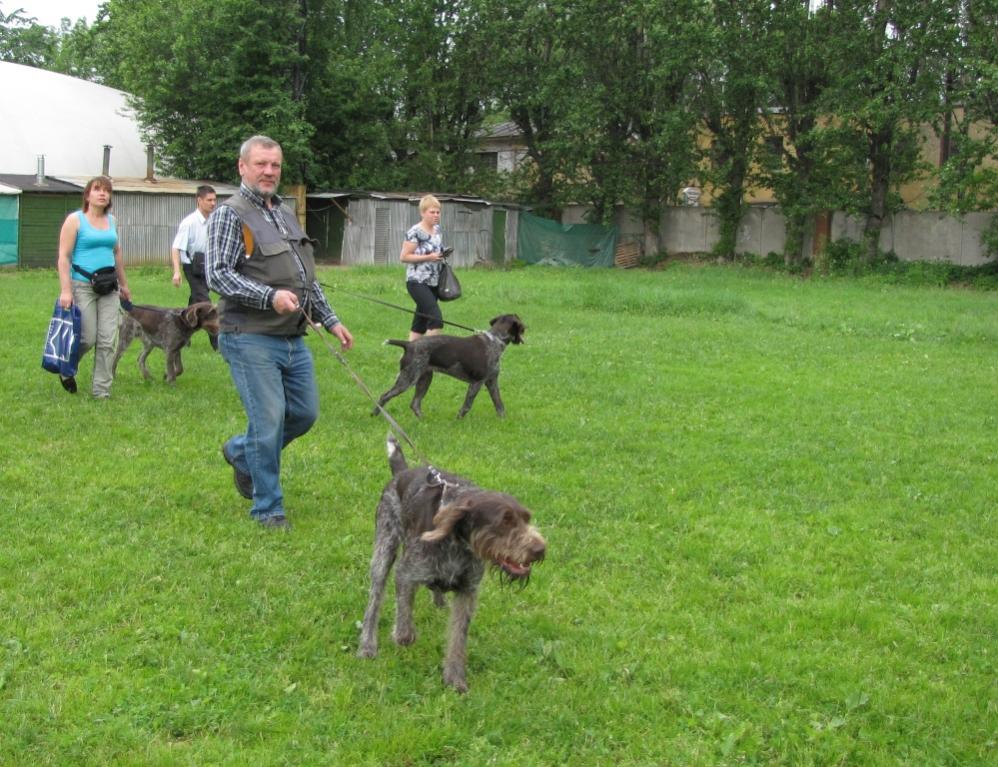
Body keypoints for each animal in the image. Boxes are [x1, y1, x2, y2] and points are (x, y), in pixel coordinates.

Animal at [358, 434, 547, 693]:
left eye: (526, 518)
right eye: (504, 521)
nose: (540, 549)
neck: (457, 544)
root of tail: (402, 473)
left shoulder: (467, 591)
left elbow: (458, 637)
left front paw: (455, 677)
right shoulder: (406, 572)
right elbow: (405, 616)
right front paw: (402, 635)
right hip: (384, 548)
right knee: (375, 600)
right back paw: (367, 645)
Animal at [373, 314, 526, 418]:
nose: (527, 328)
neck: (495, 340)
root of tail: (408, 345)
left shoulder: (491, 382)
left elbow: (499, 404)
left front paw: (503, 420)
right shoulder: (477, 382)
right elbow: (467, 406)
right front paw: (458, 420)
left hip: (424, 378)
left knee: (415, 404)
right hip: (408, 379)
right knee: (384, 396)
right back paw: (375, 415)